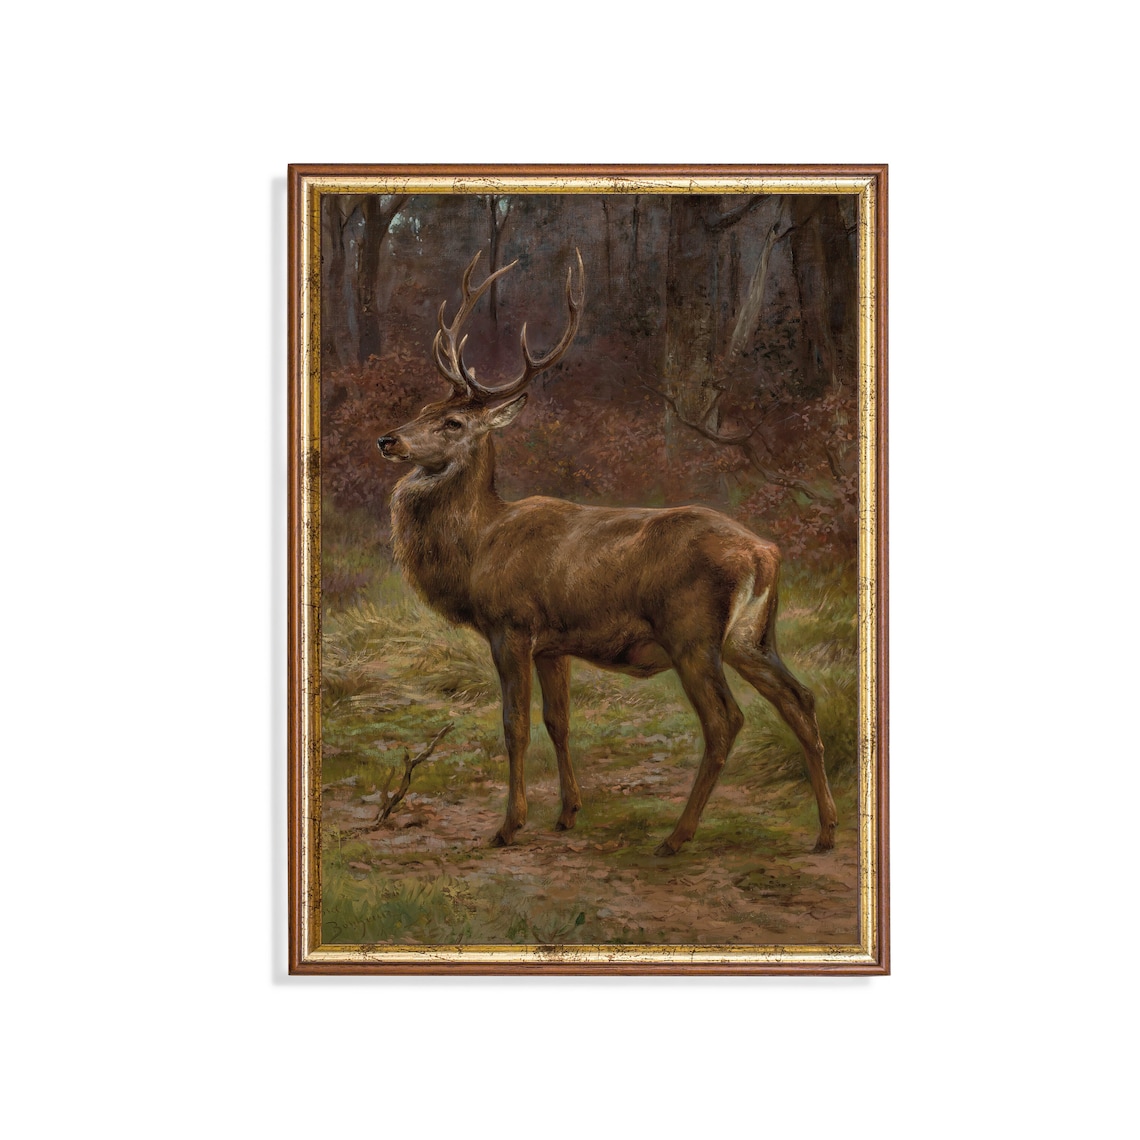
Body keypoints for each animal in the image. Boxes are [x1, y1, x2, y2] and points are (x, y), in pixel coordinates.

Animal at [377, 249, 837, 857]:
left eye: (452, 422)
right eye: (423, 407)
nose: (389, 439)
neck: (480, 547)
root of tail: (764, 553)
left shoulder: (511, 625)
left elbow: (514, 726)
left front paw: (508, 826)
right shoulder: (552, 644)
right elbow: (559, 722)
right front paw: (568, 813)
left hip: (692, 632)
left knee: (725, 721)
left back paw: (676, 837)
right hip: (752, 636)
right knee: (801, 701)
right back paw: (826, 831)